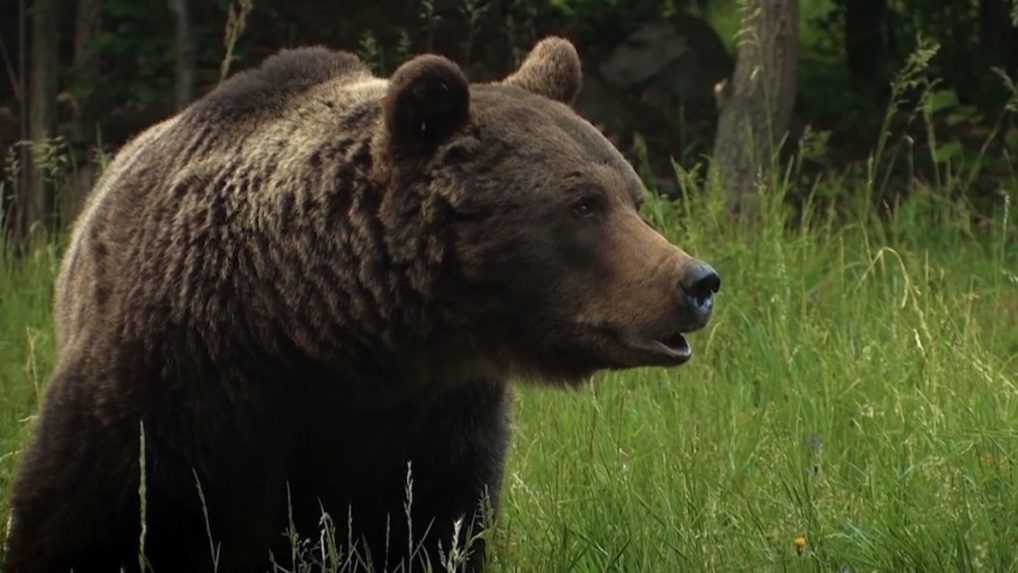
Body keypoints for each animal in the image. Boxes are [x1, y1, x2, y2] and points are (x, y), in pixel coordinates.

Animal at [3, 36, 716, 573]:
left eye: (632, 197)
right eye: (583, 204)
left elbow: (427, 529)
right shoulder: (174, 376)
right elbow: (92, 514)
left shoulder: (432, 420)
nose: (698, 282)